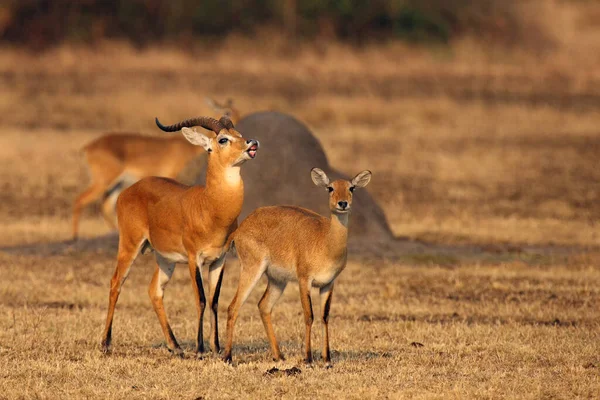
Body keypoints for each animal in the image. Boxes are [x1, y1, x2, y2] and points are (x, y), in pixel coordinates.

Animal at [101, 115, 260, 356]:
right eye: (223, 139)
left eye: (239, 134)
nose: (252, 143)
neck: (210, 206)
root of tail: (129, 190)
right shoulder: (195, 258)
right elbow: (201, 299)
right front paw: (200, 349)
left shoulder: (219, 260)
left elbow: (214, 301)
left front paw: (216, 347)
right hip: (130, 245)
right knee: (116, 282)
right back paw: (106, 343)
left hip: (165, 259)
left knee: (155, 291)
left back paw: (175, 346)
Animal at [221, 167, 370, 364]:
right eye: (330, 188)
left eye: (351, 187)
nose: (343, 203)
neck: (325, 240)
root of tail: (241, 228)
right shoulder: (304, 280)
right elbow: (309, 315)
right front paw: (308, 357)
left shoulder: (328, 283)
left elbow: (325, 316)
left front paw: (327, 358)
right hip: (252, 269)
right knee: (233, 306)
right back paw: (227, 357)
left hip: (277, 280)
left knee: (264, 306)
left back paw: (279, 356)